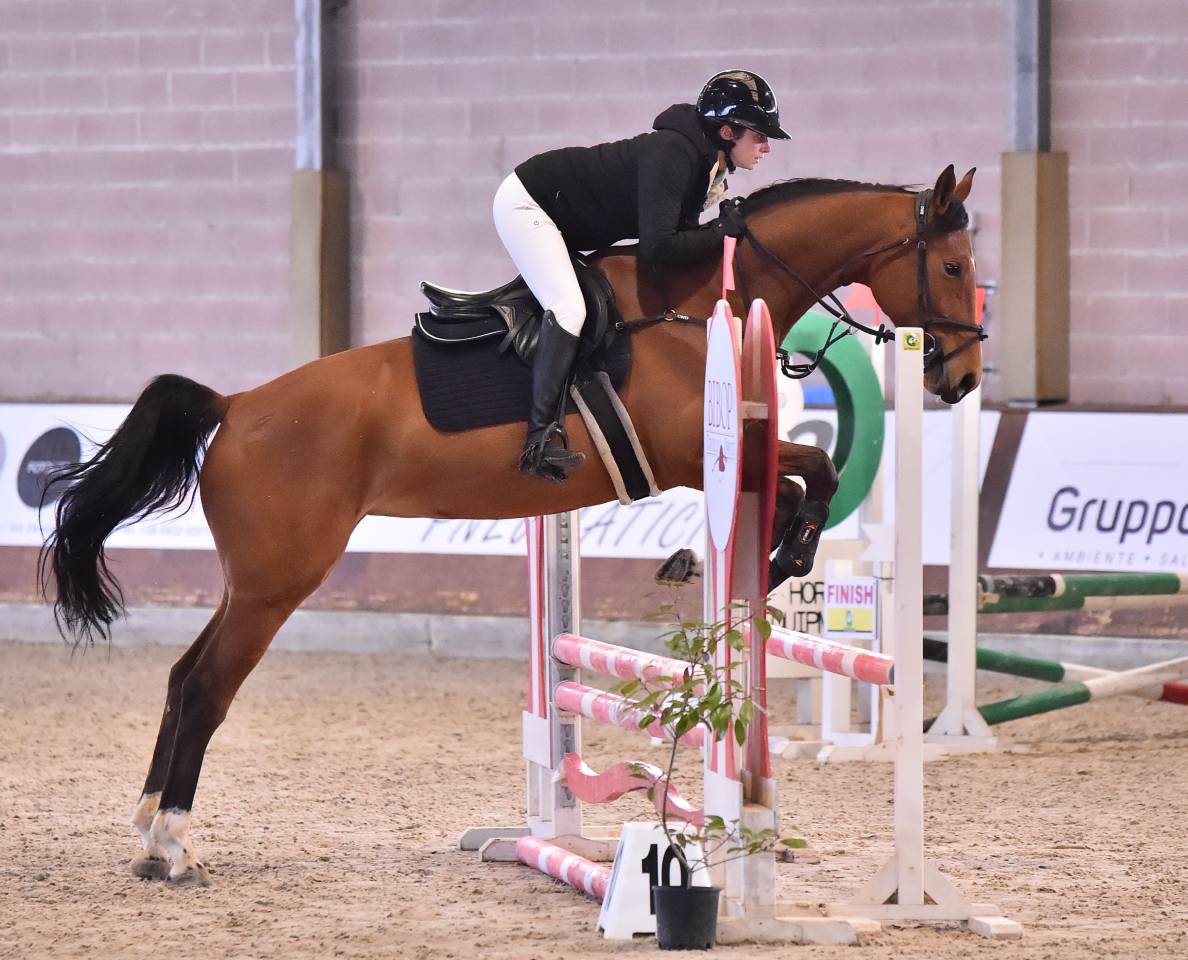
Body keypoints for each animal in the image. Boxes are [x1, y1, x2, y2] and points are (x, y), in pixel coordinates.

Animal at [41, 165, 982, 886]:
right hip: (278, 583)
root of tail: (234, 406)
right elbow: (812, 474)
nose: (965, 379)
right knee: (206, 688)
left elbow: (809, 476)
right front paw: (762, 555)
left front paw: (742, 561)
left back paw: (146, 832)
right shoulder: (693, 454)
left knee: (180, 679)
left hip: (252, 582)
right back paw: (171, 847)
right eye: (956, 264)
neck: (700, 307)